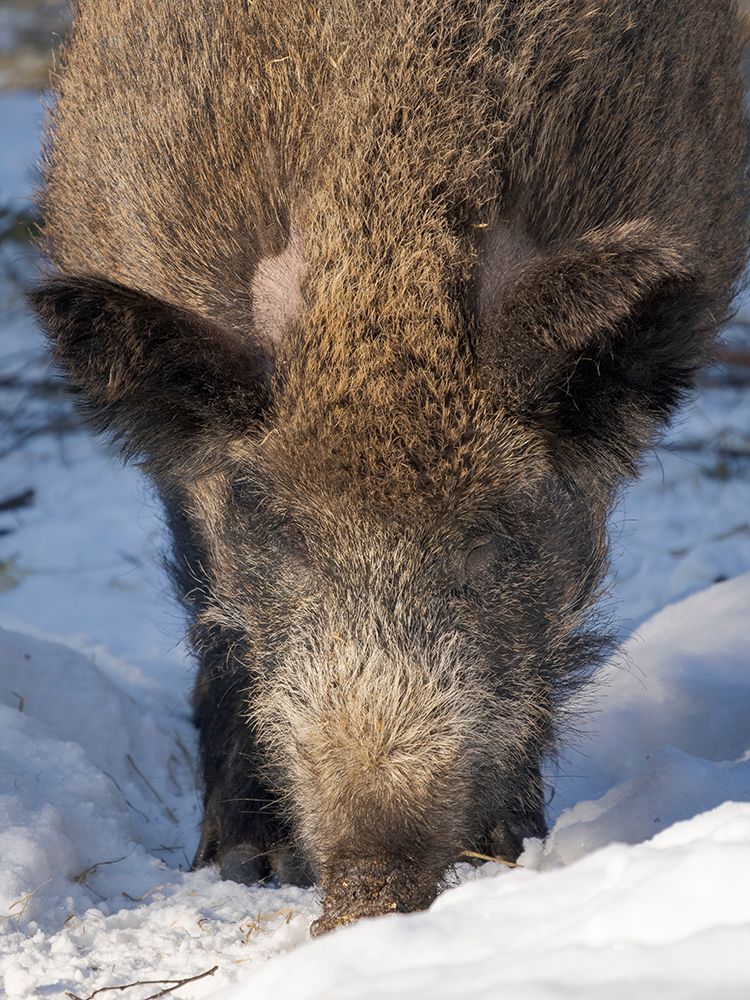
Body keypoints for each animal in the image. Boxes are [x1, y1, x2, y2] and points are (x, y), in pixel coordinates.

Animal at [31, 0, 749, 932]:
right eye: (287, 540)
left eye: (491, 540)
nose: (369, 889)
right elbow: (212, 601)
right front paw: (249, 868)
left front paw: (512, 849)